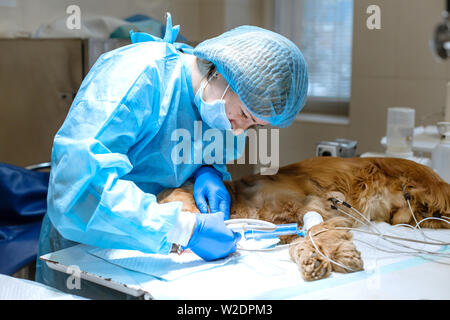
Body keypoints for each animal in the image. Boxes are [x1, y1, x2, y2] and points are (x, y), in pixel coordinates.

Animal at [156, 157, 448, 280]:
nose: (170, 245)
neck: (239, 200)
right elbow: (298, 241)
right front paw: (311, 259)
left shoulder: (316, 206)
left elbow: (315, 232)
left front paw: (340, 256)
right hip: (404, 217)